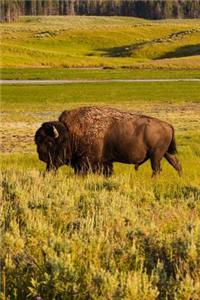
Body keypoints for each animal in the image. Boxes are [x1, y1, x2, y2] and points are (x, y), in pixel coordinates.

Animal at [35, 106, 182, 177]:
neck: (70, 133)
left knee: (157, 169)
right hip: (166, 154)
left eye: (49, 142)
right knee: (176, 164)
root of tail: (168, 125)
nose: (41, 156)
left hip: (155, 156)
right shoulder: (105, 162)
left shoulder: (88, 162)